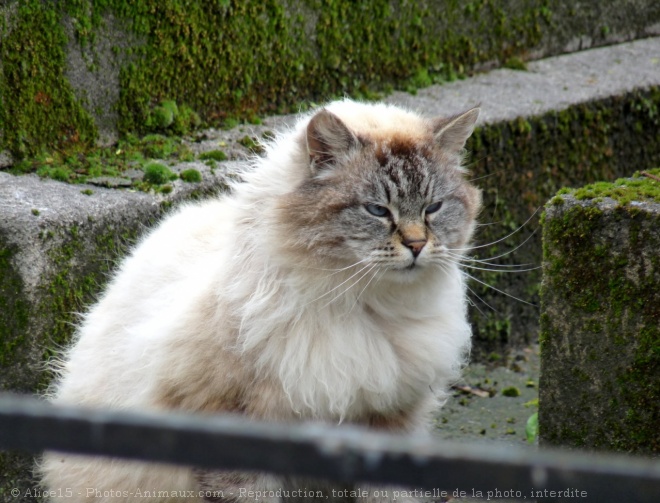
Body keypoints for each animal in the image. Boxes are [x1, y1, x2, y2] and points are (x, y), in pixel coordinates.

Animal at [38, 98, 480, 500]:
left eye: (433, 208)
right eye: (377, 210)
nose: (417, 246)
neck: (366, 310)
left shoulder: (388, 420)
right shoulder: (235, 424)